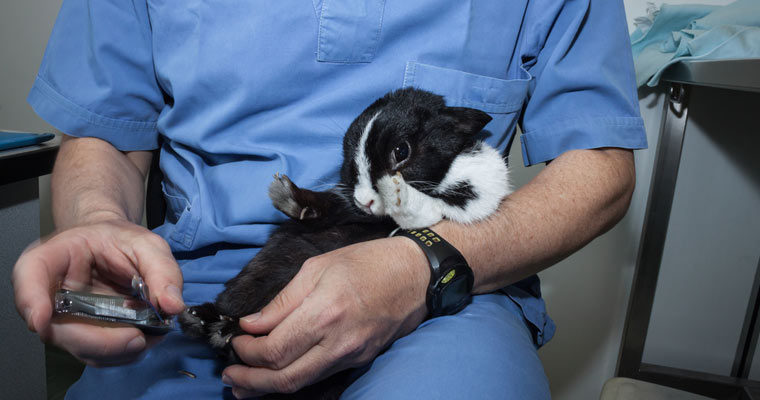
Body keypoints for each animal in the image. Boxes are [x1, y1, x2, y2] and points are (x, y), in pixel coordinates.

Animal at [179, 87, 510, 396]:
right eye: (351, 163)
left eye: (401, 151)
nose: (365, 201)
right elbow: (331, 207)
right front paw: (287, 195)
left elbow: (417, 206)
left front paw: (395, 192)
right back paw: (202, 319)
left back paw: (217, 327)